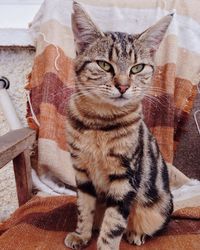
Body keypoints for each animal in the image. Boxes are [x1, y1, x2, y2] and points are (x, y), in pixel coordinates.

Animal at [65, 2, 173, 250]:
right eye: (104, 65)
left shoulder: (126, 177)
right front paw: (81, 235)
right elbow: (84, 209)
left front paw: (106, 245)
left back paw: (136, 233)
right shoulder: (81, 172)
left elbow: (114, 224)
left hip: (159, 208)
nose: (123, 86)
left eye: (137, 68)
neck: (100, 122)